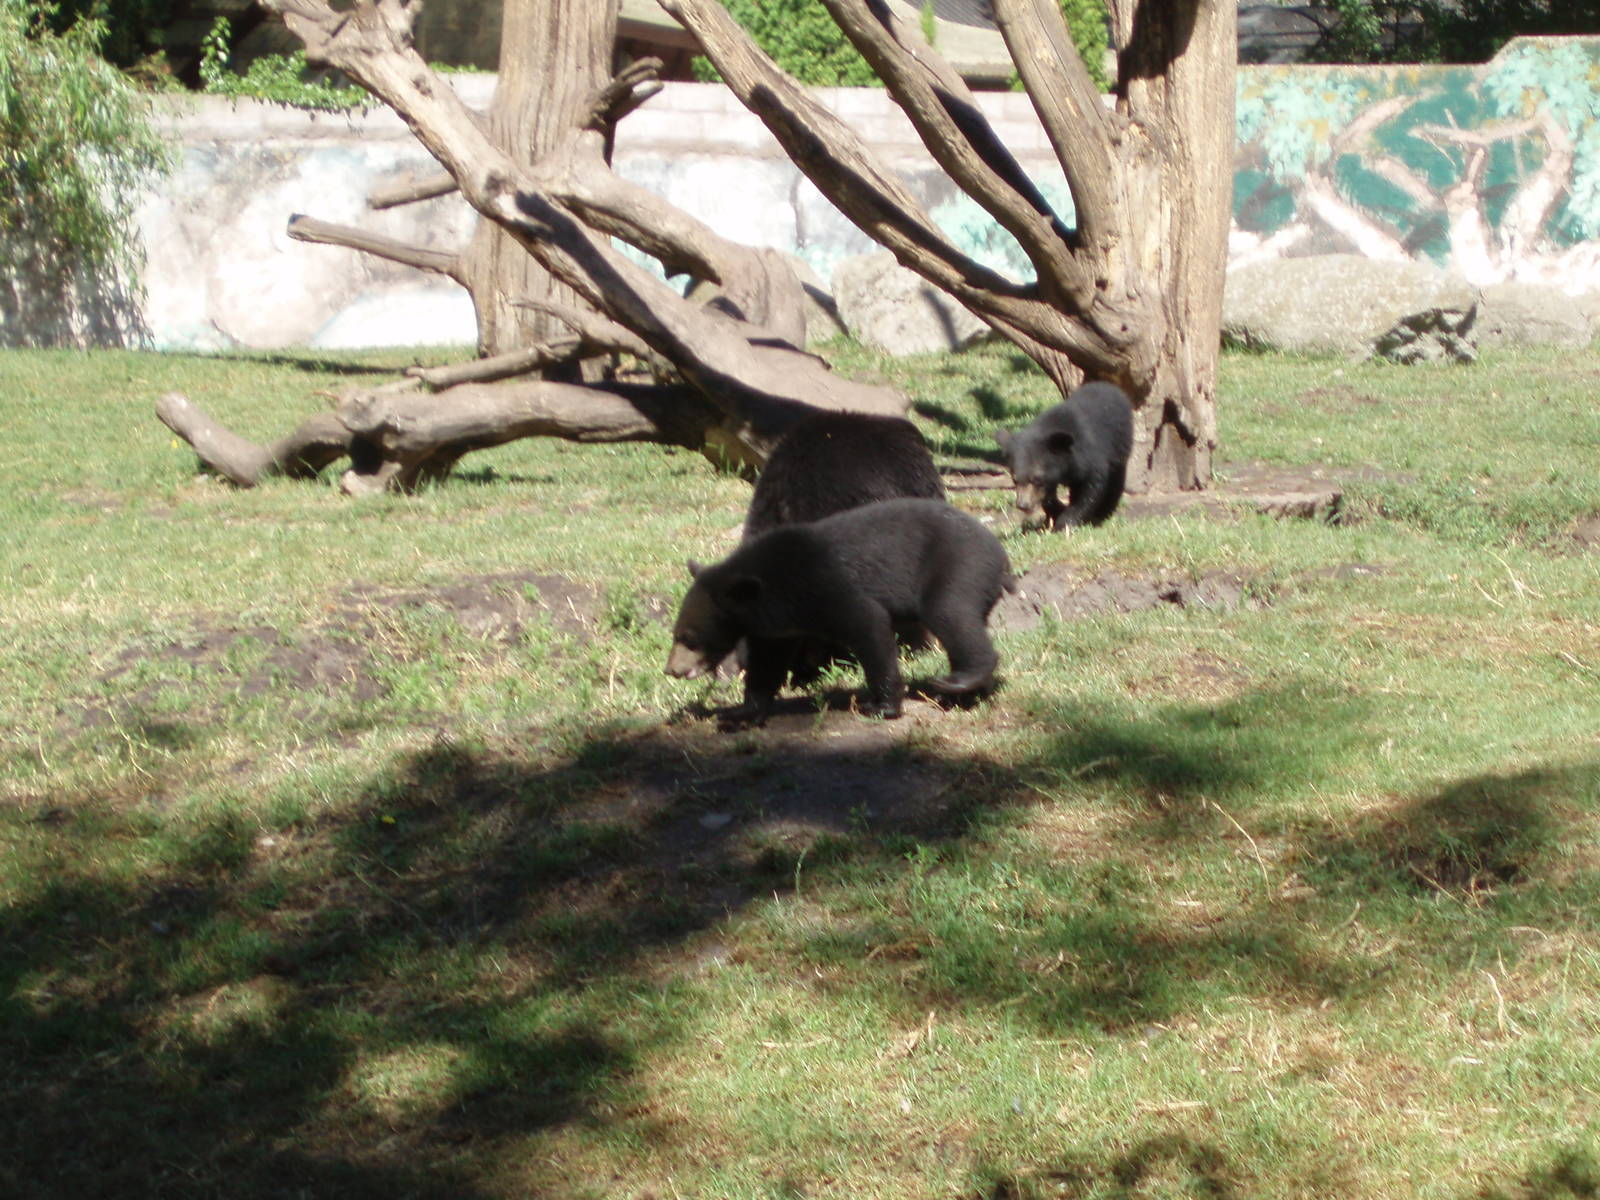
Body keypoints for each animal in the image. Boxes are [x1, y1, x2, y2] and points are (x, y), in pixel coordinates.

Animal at [666, 498, 1014, 725]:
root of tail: (1002, 557)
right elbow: (767, 662)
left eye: (689, 638)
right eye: (677, 634)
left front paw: (881, 705)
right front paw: (741, 712)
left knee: (951, 615)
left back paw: (956, 681)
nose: (672, 670)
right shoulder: (776, 626)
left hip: (959, 567)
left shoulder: (825, 587)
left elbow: (869, 624)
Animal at [994, 381, 1134, 531]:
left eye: (1037, 479)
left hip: (1120, 444)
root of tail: (1108, 385)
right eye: (1015, 479)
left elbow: (1091, 487)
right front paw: (1056, 512)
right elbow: (1049, 497)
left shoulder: (1089, 456)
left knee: (1116, 479)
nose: (1023, 505)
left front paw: (1066, 522)